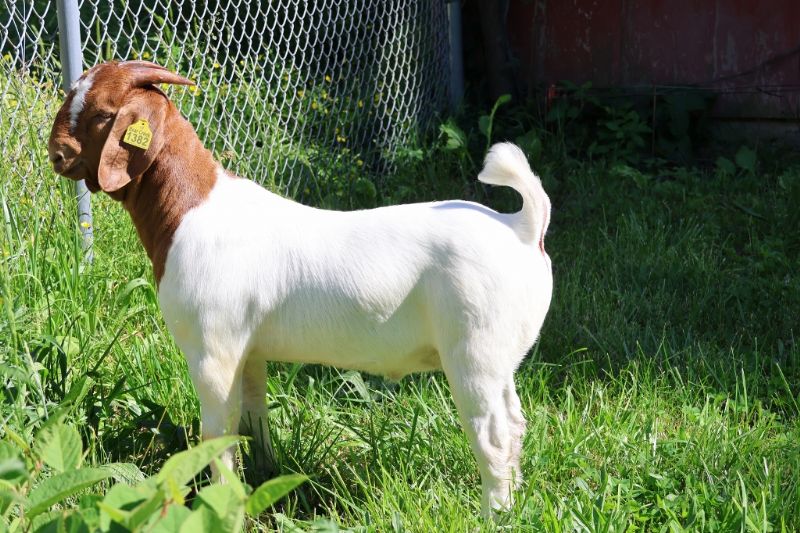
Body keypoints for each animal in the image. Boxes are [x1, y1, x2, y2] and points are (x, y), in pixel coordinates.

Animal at [48, 61, 553, 516]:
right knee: (515, 422)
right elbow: (252, 416)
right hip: (499, 357)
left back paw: (494, 514)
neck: (191, 207)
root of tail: (522, 228)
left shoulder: (213, 351)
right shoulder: (246, 350)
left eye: (101, 113)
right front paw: (264, 477)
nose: (56, 154)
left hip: (473, 350)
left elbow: (217, 432)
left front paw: (220, 504)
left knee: (493, 433)